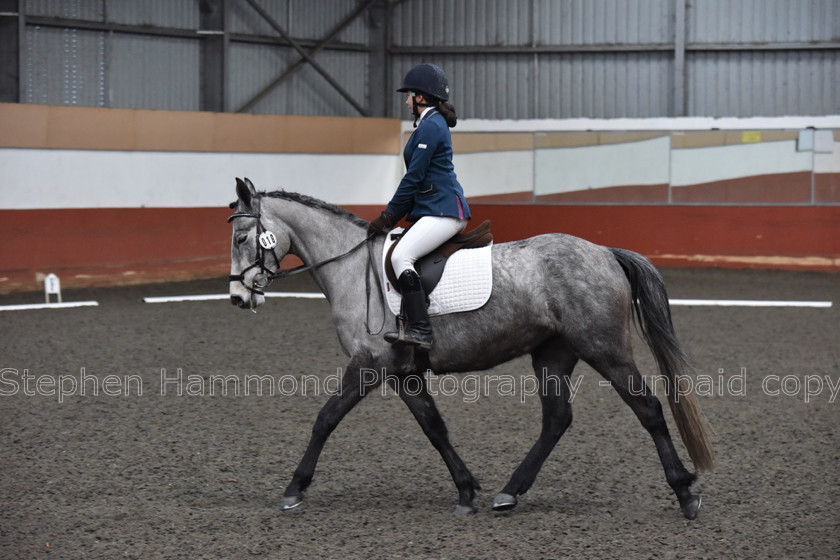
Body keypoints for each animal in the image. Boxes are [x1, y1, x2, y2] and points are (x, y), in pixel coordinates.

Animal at [228, 178, 716, 520]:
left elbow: (325, 418)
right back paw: (509, 493)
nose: (237, 297)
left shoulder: (369, 364)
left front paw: (294, 488)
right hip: (553, 354)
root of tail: (604, 252)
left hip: (604, 348)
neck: (351, 268)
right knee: (557, 419)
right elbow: (434, 427)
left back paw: (685, 493)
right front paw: (465, 491)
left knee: (647, 409)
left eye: (240, 238)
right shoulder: (402, 371)